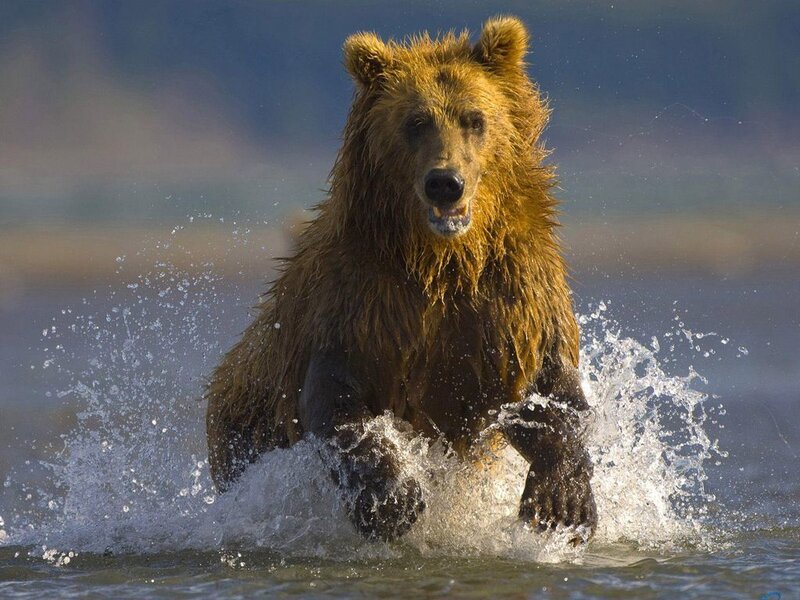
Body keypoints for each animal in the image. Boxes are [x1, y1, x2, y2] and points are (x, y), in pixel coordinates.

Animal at [205, 15, 597, 543]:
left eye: (474, 118)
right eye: (416, 122)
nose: (444, 182)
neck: (442, 260)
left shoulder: (510, 292)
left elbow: (545, 389)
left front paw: (563, 503)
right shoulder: (361, 298)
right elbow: (336, 400)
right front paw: (393, 500)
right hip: (247, 419)